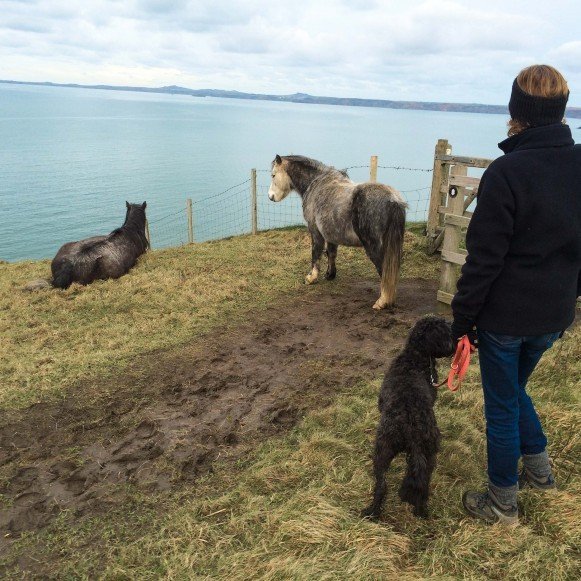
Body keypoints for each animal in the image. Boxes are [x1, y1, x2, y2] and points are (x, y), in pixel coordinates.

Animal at [270, 154, 406, 308]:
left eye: (273, 175)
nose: (271, 196)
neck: (316, 184)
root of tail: (393, 200)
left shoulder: (315, 231)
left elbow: (315, 253)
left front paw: (311, 278)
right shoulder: (330, 233)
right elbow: (331, 253)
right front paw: (330, 275)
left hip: (374, 247)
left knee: (383, 270)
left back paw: (382, 302)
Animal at [362, 314, 454, 520]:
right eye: (444, 330)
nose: (455, 342)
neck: (415, 358)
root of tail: (411, 426)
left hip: (382, 450)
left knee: (382, 485)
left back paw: (373, 511)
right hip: (429, 454)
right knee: (423, 484)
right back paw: (421, 511)